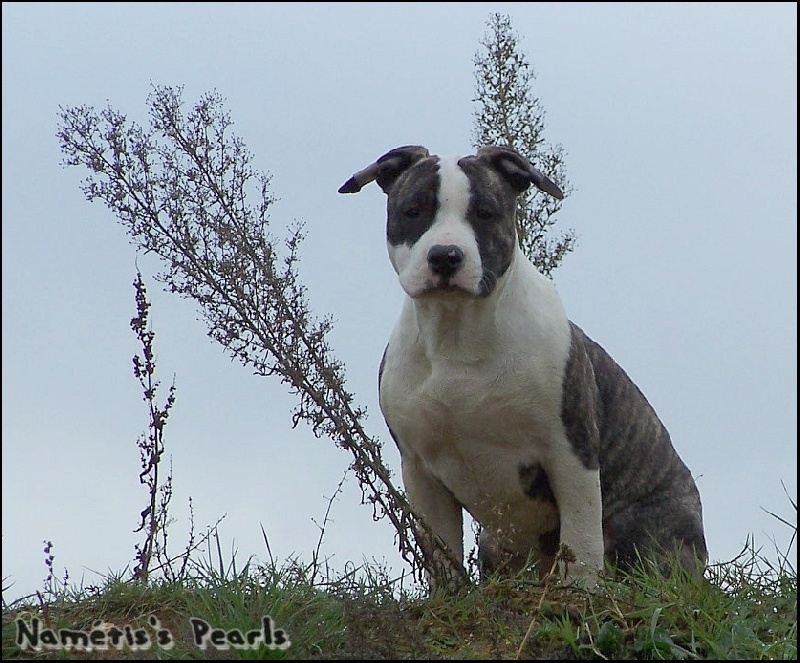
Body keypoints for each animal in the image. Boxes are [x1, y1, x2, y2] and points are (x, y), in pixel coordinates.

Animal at [338, 145, 708, 588]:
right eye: (413, 210)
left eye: (485, 212)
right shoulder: (420, 471)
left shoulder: (571, 454)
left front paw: (578, 594)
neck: (457, 335)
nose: (445, 256)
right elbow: (442, 553)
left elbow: (581, 544)